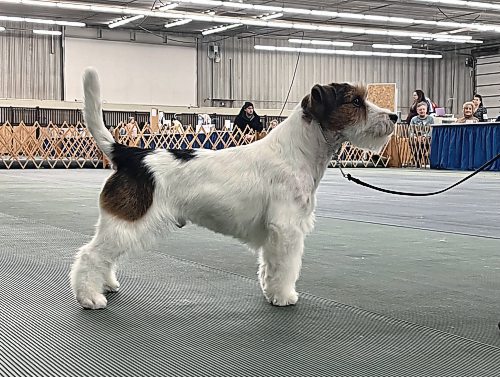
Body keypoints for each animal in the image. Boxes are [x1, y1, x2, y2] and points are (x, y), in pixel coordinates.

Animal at [71, 67, 398, 308]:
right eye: (355, 102)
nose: (394, 116)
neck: (297, 151)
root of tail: (130, 153)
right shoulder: (288, 228)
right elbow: (286, 267)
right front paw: (284, 297)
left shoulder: (274, 233)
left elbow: (270, 265)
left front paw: (270, 290)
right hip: (128, 220)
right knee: (90, 254)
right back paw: (90, 297)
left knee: (103, 256)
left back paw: (107, 285)